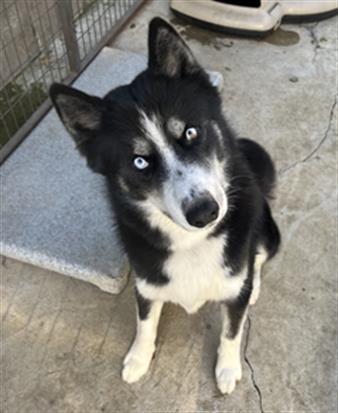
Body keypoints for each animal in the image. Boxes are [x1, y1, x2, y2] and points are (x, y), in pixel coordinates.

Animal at [49, 17, 280, 394]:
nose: (205, 212)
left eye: (190, 133)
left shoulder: (234, 288)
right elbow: (145, 321)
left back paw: (255, 285)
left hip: (267, 230)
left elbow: (232, 330)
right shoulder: (146, 280)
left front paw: (228, 367)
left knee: (258, 259)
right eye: (140, 161)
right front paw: (138, 358)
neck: (192, 243)